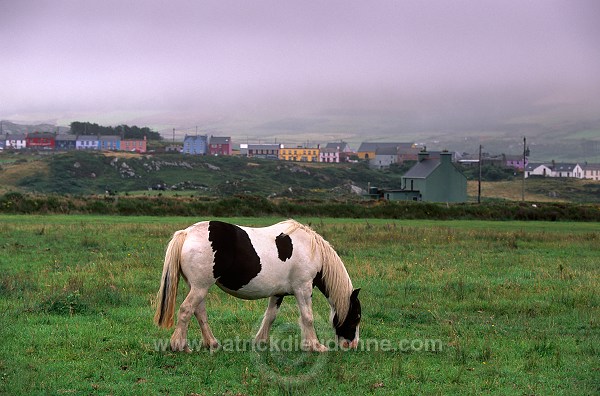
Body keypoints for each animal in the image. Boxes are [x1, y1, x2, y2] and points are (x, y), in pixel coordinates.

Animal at [155, 220, 360, 352]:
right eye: (356, 317)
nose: (352, 345)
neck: (311, 250)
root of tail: (186, 233)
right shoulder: (303, 289)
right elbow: (307, 317)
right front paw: (316, 346)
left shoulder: (279, 293)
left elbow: (270, 316)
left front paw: (260, 342)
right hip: (200, 287)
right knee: (186, 310)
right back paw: (179, 346)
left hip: (198, 287)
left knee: (199, 312)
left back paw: (212, 344)